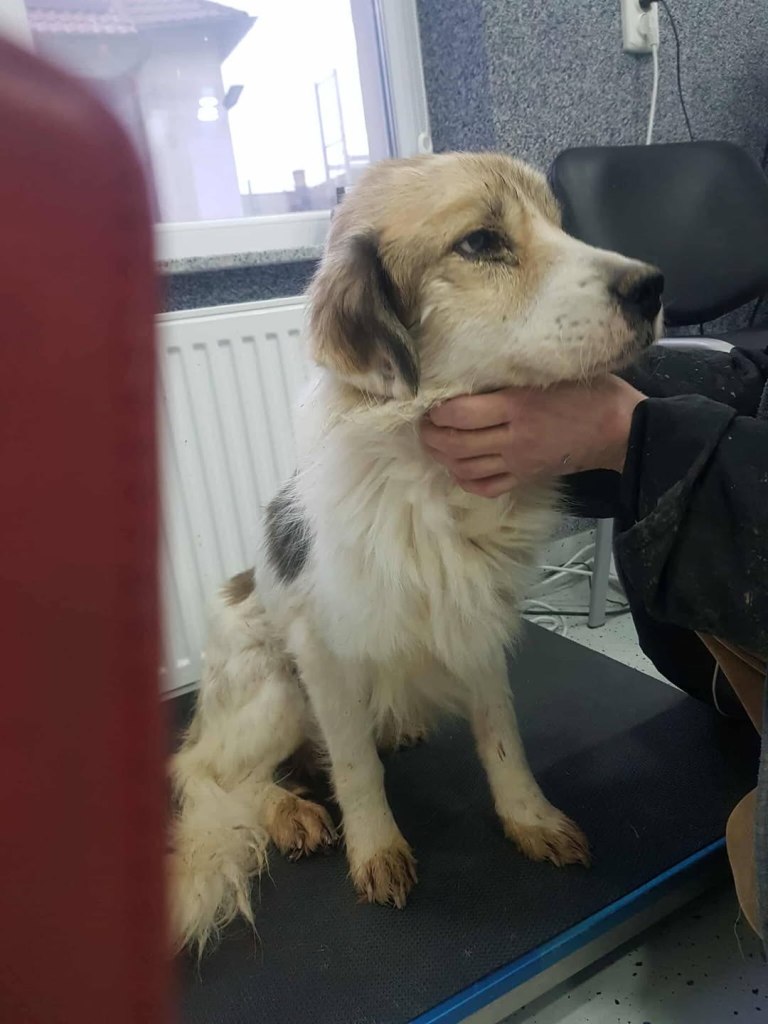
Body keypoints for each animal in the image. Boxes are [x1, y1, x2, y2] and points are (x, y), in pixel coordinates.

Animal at [170, 151, 663, 953]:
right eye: (481, 242)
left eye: (559, 224)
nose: (654, 286)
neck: (432, 483)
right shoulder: (323, 654)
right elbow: (353, 768)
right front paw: (377, 848)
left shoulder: (478, 625)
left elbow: (502, 737)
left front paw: (528, 817)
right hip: (270, 689)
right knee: (209, 773)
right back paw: (291, 810)